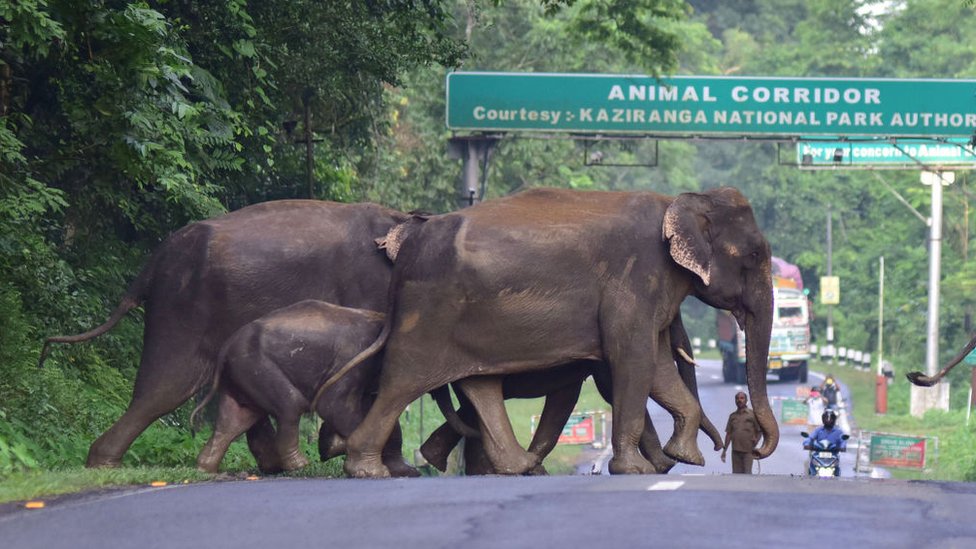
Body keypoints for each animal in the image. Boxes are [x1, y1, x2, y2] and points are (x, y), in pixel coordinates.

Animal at [193, 298, 414, 474]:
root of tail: (224, 350)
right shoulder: (352, 357)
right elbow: (332, 404)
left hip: (242, 374)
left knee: (235, 419)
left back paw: (205, 468)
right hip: (254, 365)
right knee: (290, 405)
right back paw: (300, 466)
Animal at [336, 186, 776, 478]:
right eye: (755, 254)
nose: (729, 448)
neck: (678, 202)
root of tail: (407, 249)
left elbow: (657, 366)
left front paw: (685, 459)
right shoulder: (633, 280)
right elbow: (634, 361)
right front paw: (636, 469)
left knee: (479, 384)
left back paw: (514, 466)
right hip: (426, 315)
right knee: (401, 382)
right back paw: (370, 470)